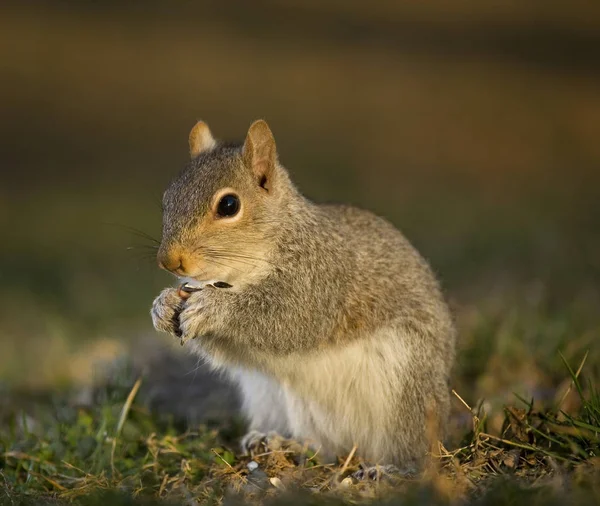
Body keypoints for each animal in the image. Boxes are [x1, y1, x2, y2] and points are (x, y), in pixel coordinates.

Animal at [150, 118, 454, 470]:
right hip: (274, 399)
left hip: (406, 389)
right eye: (167, 198)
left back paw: (389, 468)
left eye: (229, 205)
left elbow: (286, 319)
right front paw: (162, 306)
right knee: (321, 447)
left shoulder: (321, 281)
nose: (169, 260)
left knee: (414, 448)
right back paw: (277, 442)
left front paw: (213, 308)